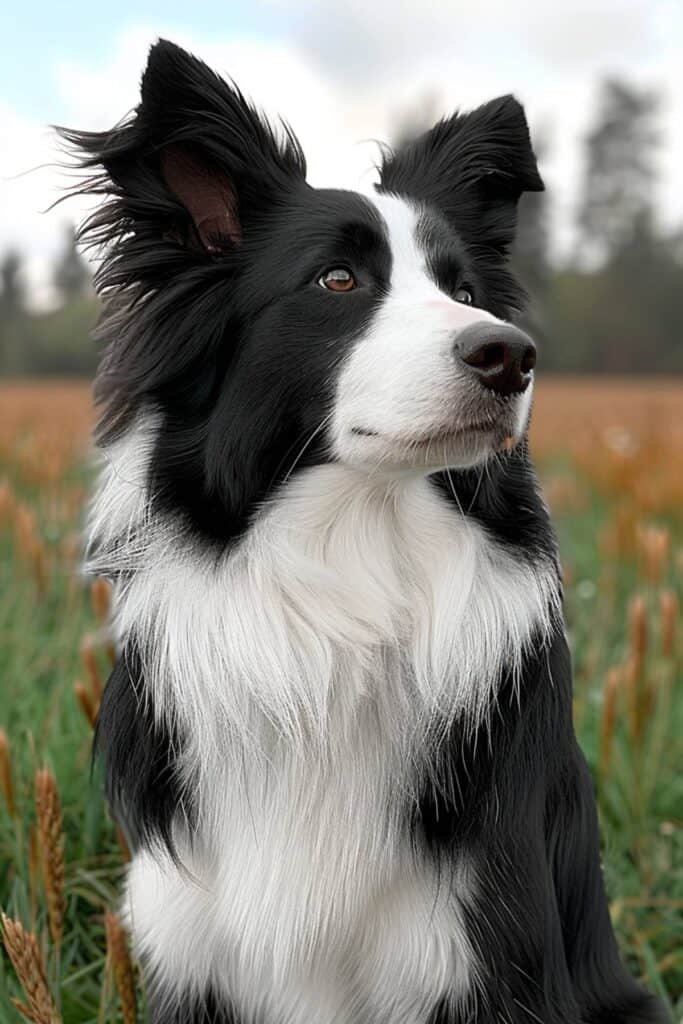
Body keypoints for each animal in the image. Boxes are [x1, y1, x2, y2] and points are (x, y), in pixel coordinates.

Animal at [62, 37, 667, 1024]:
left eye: (465, 289)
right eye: (336, 280)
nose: (509, 355)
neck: (352, 577)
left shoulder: (484, 952)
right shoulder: (193, 951)